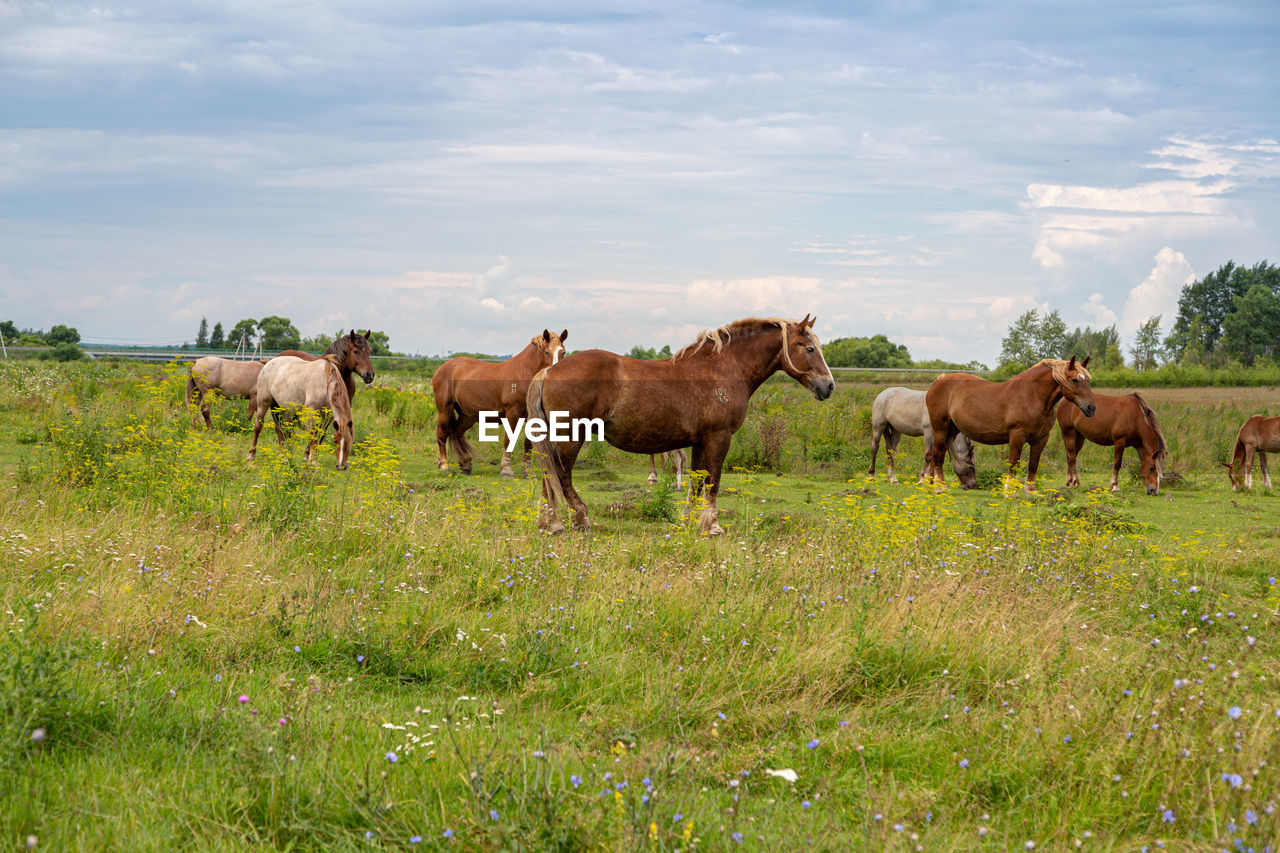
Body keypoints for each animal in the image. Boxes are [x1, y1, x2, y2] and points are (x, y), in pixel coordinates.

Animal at [432, 326, 568, 473]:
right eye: (547, 352)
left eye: (563, 352)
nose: (556, 375)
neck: (523, 374)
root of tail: (443, 367)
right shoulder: (512, 413)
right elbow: (509, 440)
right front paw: (506, 469)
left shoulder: (532, 416)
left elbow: (528, 443)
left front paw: (527, 471)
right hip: (445, 410)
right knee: (442, 434)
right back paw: (444, 465)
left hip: (467, 415)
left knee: (457, 433)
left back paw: (465, 464)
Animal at [527, 315, 834, 535]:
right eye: (809, 349)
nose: (828, 386)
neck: (724, 367)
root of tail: (551, 369)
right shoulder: (718, 438)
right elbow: (713, 481)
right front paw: (712, 525)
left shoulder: (700, 441)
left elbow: (696, 480)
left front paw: (688, 521)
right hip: (570, 436)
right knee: (561, 474)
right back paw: (578, 518)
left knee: (549, 475)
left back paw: (549, 522)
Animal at [926, 356, 1095, 489]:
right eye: (1075, 380)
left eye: (1087, 380)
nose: (1091, 408)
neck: (1032, 395)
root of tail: (939, 381)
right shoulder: (1017, 436)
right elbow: (1013, 464)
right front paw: (1010, 492)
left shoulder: (1041, 439)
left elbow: (1033, 464)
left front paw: (1030, 492)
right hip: (940, 428)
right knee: (938, 455)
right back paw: (939, 488)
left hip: (952, 429)